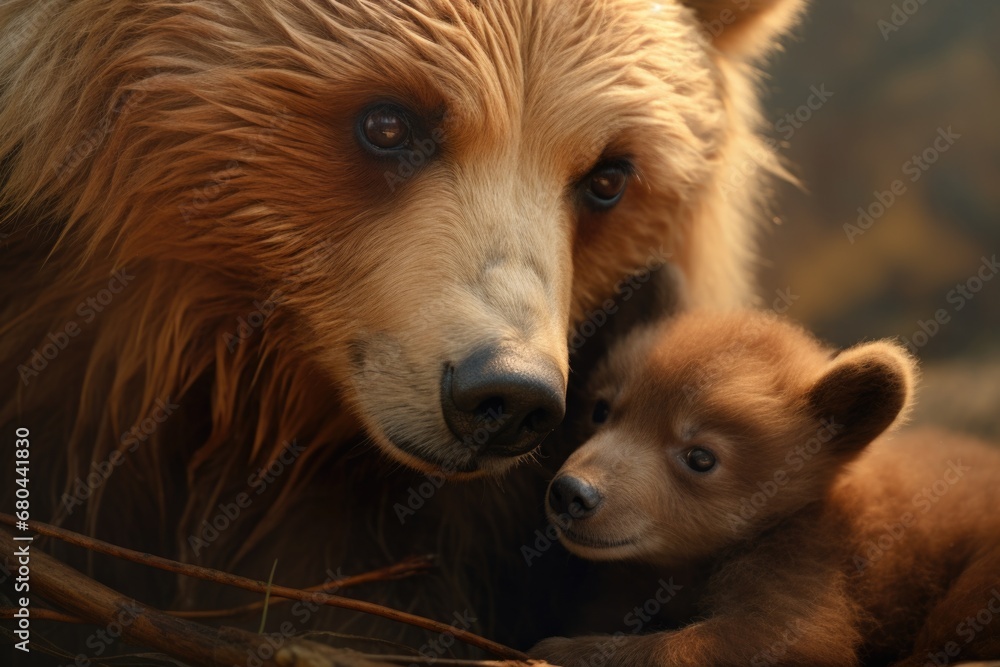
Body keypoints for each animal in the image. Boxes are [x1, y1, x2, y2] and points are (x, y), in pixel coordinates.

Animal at [534, 310, 1000, 667]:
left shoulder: (805, 557)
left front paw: (563, 650)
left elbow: (771, 638)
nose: (571, 492)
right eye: (601, 410)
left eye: (700, 457)